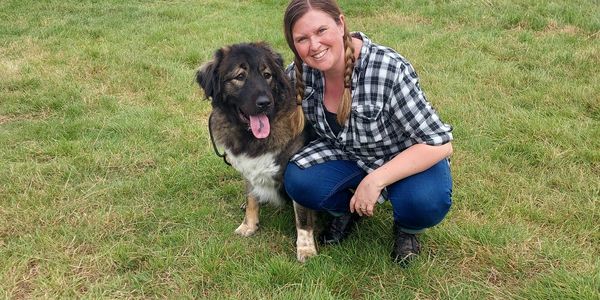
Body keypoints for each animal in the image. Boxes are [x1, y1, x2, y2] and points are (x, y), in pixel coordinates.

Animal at [197, 42, 318, 262]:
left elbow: (302, 218)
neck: (253, 138)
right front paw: (249, 225)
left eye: (267, 75)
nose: (264, 103)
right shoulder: (249, 170)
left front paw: (305, 249)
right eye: (240, 76)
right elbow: (251, 198)